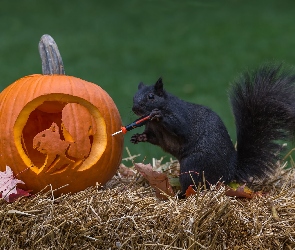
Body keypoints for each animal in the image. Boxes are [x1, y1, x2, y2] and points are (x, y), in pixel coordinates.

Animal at [132, 64, 295, 197]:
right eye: (134, 96)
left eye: (151, 96)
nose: (135, 108)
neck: (154, 123)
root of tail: (230, 172)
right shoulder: (154, 132)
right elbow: (152, 137)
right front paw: (138, 137)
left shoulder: (182, 116)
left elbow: (180, 127)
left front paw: (158, 114)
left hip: (193, 165)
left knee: (193, 185)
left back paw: (181, 195)